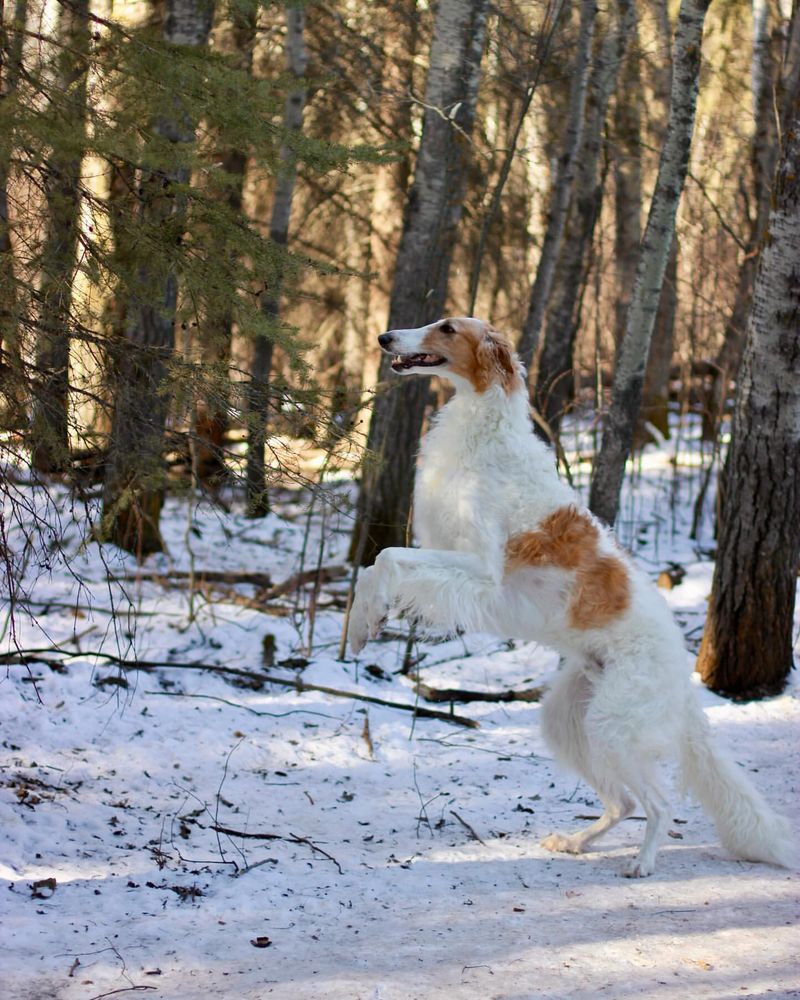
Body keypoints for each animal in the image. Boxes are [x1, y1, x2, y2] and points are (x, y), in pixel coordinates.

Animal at [346, 318, 792, 876]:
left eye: (446, 328)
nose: (384, 338)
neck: (483, 428)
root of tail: (684, 680)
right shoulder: (442, 549)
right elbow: (374, 566)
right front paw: (361, 626)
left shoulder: (483, 570)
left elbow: (386, 558)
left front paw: (369, 621)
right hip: (568, 719)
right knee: (622, 802)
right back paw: (576, 842)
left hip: (612, 724)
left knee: (658, 803)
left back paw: (642, 863)